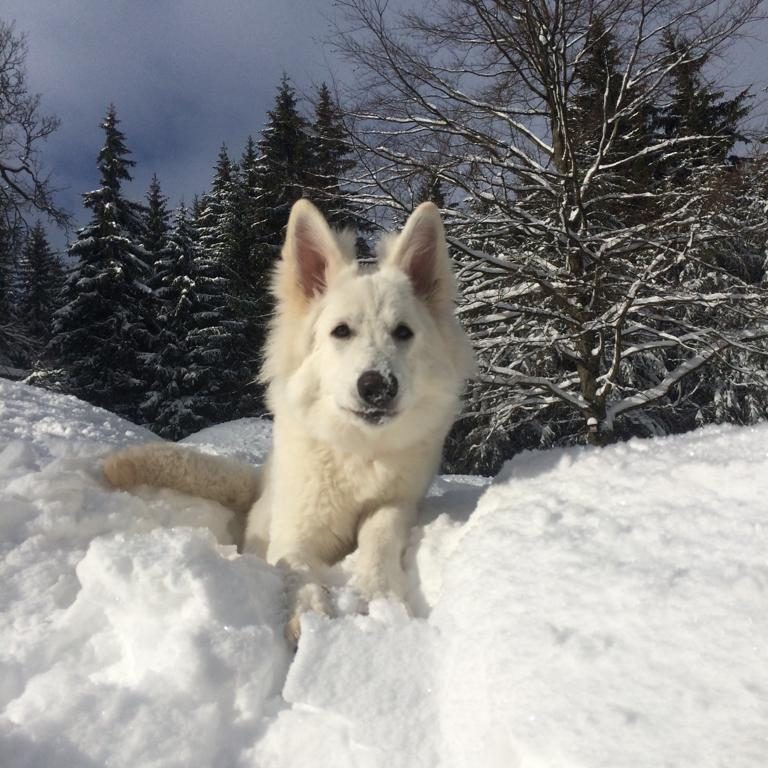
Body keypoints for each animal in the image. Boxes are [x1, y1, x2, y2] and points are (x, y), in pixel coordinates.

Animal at [102, 200, 474, 640]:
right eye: (341, 331)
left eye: (403, 332)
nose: (378, 386)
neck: (357, 451)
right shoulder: (294, 532)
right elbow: (296, 568)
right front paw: (312, 619)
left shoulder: (399, 503)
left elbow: (379, 537)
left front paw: (380, 599)